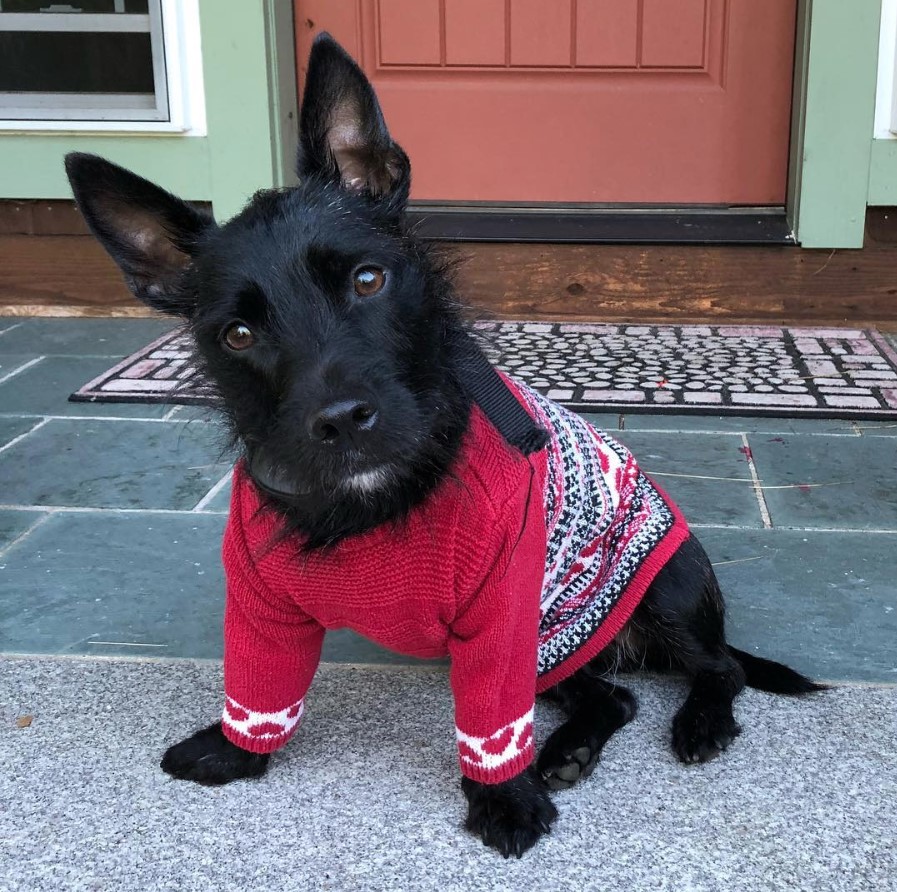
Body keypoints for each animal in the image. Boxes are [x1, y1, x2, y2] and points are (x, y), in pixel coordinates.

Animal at [66, 33, 824, 856]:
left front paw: (503, 799)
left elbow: (491, 722)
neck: (371, 499)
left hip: (667, 589)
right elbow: (258, 689)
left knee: (721, 669)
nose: (341, 420)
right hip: (555, 649)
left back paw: (698, 722)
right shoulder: (263, 609)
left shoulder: (500, 617)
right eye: (236, 334)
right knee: (616, 698)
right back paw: (570, 750)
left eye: (368, 280)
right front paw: (236, 753)